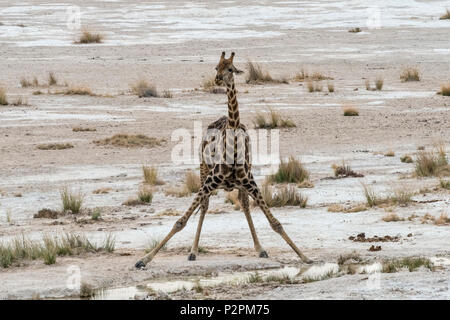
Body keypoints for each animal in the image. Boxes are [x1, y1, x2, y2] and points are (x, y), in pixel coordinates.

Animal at [134, 52, 312, 268]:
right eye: (216, 67)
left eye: (230, 69)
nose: (218, 79)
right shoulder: (210, 181)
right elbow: (180, 222)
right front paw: (144, 259)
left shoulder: (250, 182)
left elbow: (275, 223)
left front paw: (305, 256)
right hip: (203, 172)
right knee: (204, 206)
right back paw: (193, 252)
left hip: (239, 183)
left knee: (243, 205)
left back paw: (259, 249)